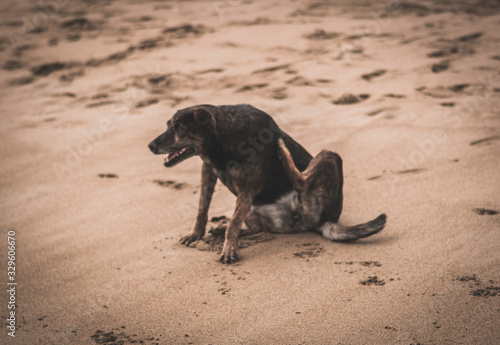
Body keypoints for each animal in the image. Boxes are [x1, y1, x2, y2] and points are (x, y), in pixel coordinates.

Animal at [148, 103, 386, 262]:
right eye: (168, 125)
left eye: (179, 127)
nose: (150, 146)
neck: (223, 141)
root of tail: (320, 221)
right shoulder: (208, 171)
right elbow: (202, 208)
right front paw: (197, 234)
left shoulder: (247, 188)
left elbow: (233, 222)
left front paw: (228, 249)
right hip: (253, 211)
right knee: (260, 230)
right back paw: (225, 232)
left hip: (329, 156)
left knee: (301, 181)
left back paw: (282, 150)